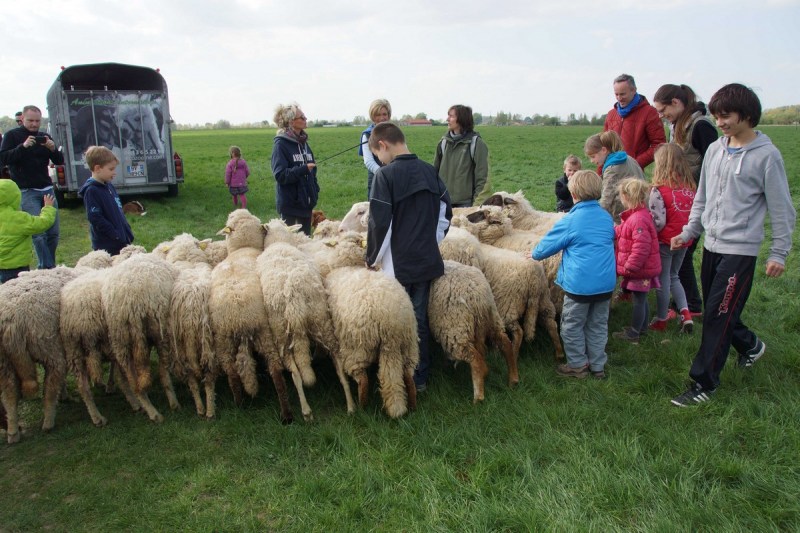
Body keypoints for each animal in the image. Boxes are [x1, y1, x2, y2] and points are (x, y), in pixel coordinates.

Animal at [324, 268, 418, 418]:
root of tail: (390, 320)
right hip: (408, 345)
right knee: (408, 375)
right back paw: (412, 405)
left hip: (357, 349)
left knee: (362, 379)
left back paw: (362, 407)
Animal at [428, 260, 516, 402]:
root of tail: (477, 296)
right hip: (492, 318)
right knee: (506, 344)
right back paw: (513, 380)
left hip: (454, 328)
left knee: (475, 360)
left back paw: (478, 398)